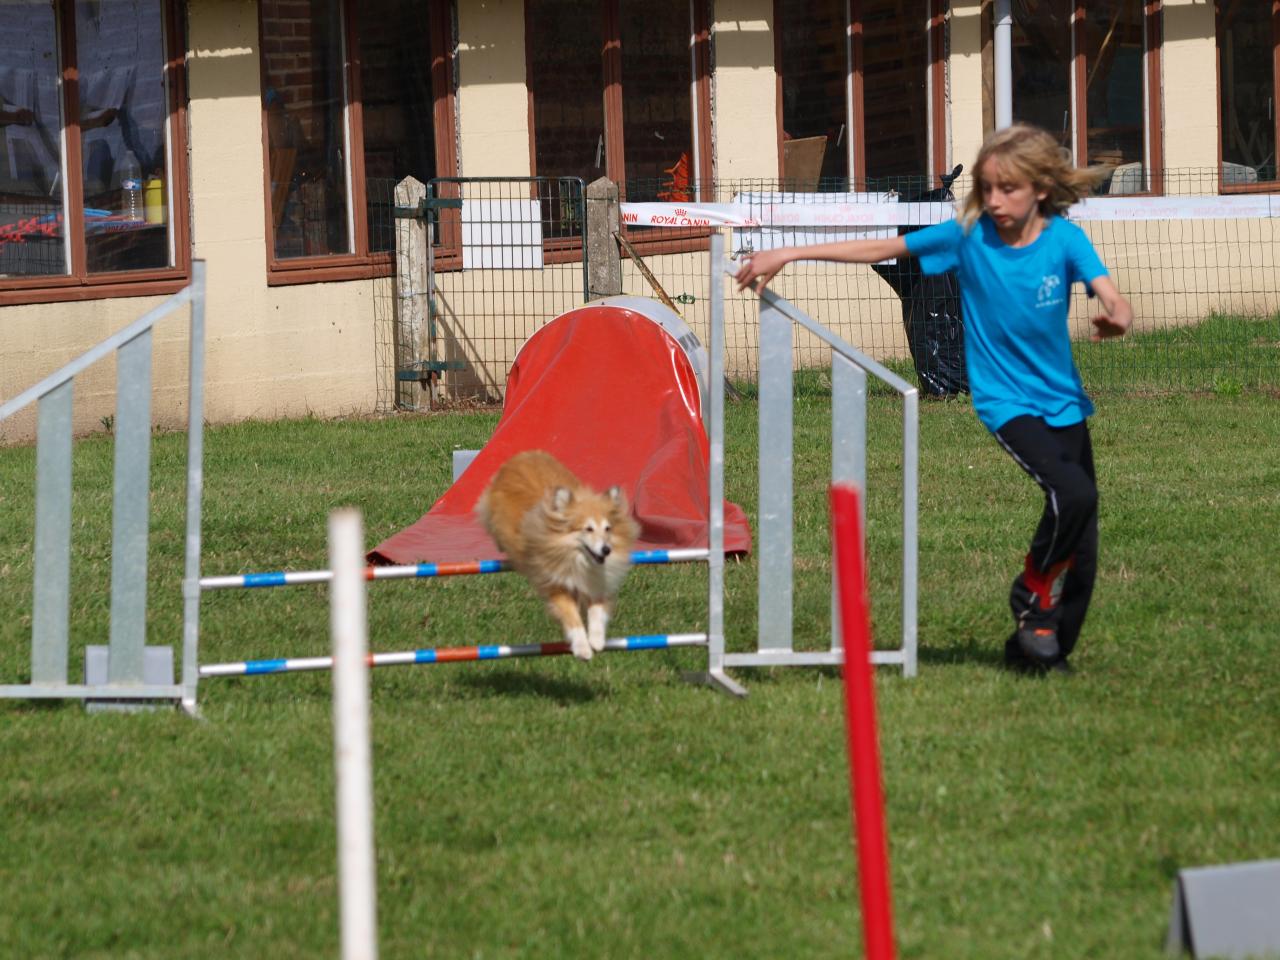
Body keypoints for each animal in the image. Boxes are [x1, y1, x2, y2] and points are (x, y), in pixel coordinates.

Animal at [476, 450, 640, 660]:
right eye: (588, 529)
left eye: (607, 528)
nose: (606, 550)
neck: (577, 559)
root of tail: (525, 454)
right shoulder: (556, 586)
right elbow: (572, 619)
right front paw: (582, 648)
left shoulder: (596, 583)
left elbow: (597, 612)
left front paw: (596, 639)